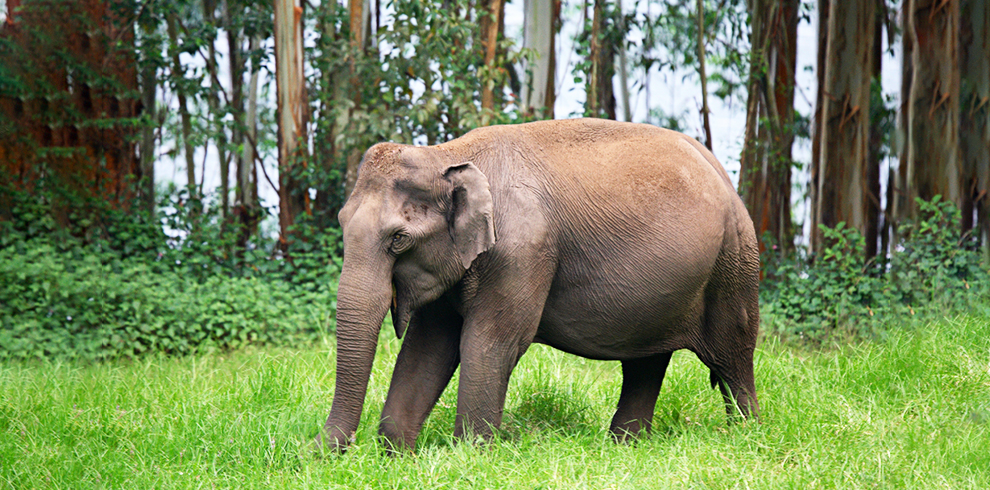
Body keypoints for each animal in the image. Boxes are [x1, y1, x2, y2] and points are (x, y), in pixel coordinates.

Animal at [322, 116, 764, 452]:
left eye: (398, 239)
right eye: (341, 223)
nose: (326, 454)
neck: (448, 154)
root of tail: (722, 173)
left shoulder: (522, 251)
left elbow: (490, 343)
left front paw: (471, 455)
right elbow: (428, 347)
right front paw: (397, 452)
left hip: (734, 263)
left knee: (732, 355)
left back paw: (747, 436)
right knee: (645, 362)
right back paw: (626, 445)